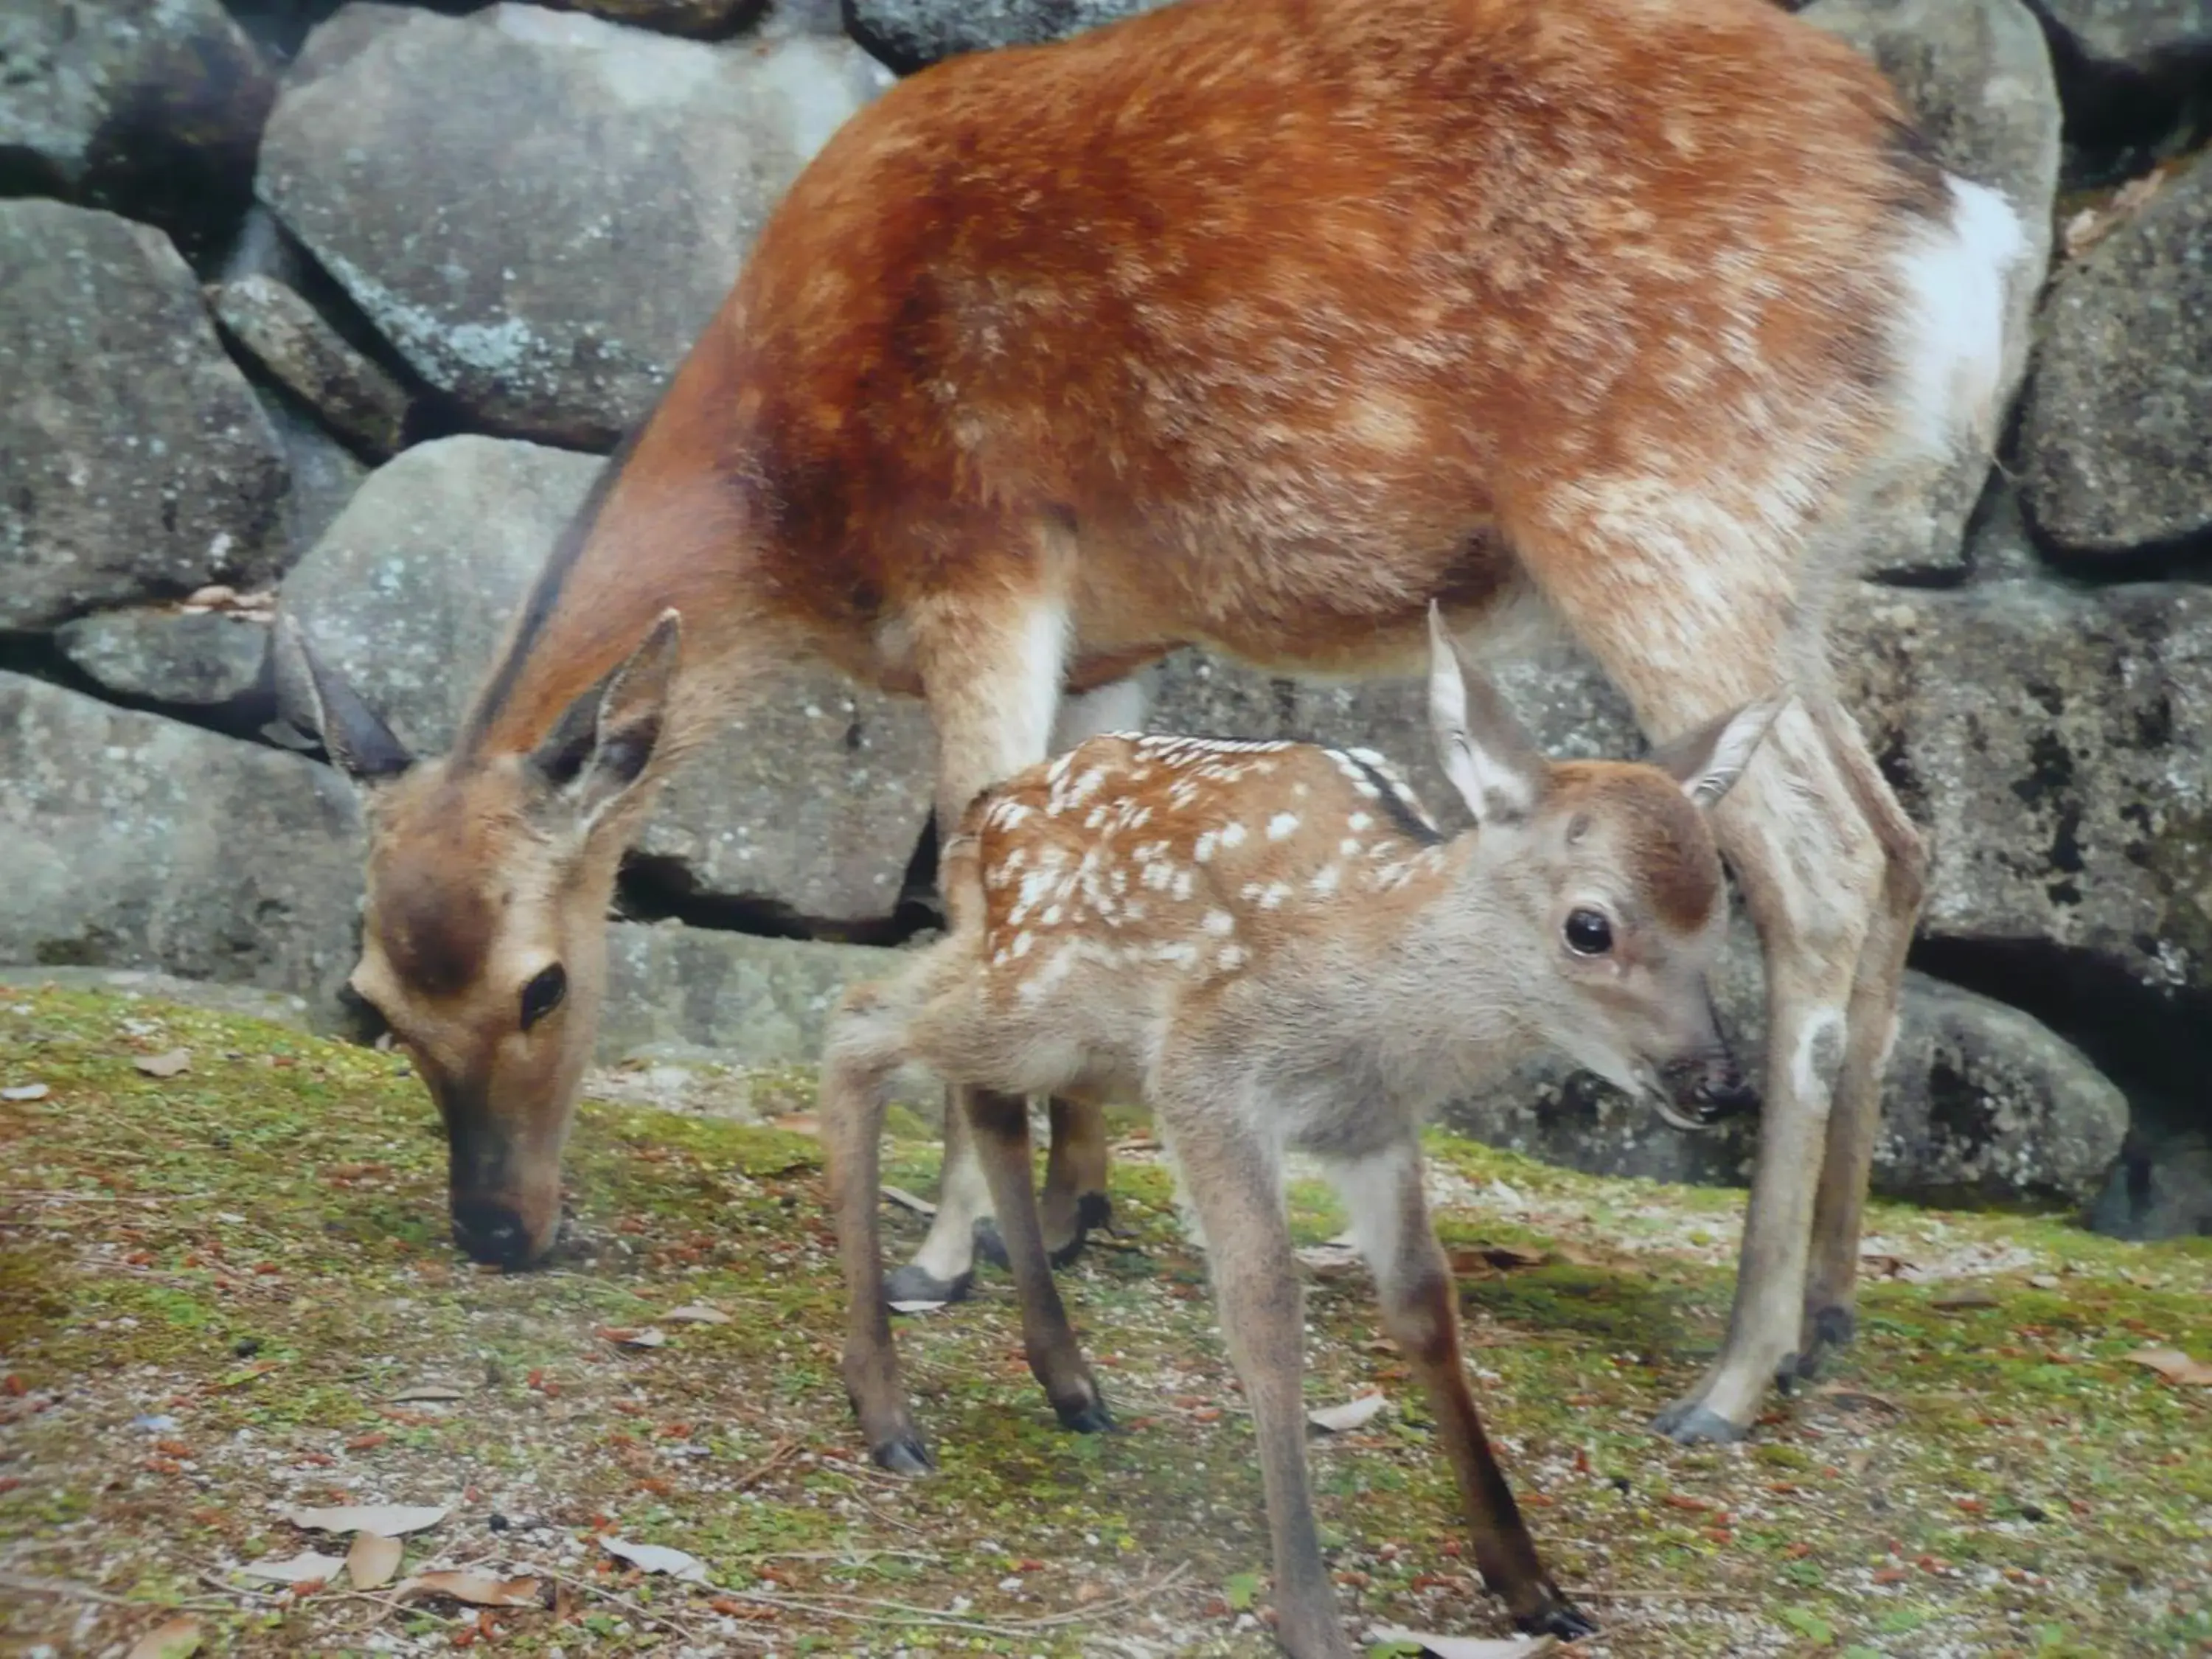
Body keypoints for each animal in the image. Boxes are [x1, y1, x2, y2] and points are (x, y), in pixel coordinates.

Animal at [285, 0, 2026, 1442]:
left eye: (545, 984)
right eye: (367, 996)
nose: (497, 1232)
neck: (793, 497)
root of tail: (1958, 231)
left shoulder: (983, 555)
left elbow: (976, 867)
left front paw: (945, 1258)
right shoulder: (1117, 627)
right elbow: (1084, 852)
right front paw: (1075, 1205)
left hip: (1658, 505)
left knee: (1821, 870)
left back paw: (1732, 1375)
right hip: (1792, 562)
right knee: (1904, 838)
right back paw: (1833, 1317)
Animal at [832, 615, 1778, 1659]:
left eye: (1720, 923)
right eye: (1590, 927)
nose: (1718, 1081)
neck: (1374, 1008)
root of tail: (981, 820)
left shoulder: (1373, 1129)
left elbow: (1424, 1306)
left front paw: (1531, 1584)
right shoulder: (1208, 1081)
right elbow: (1265, 1312)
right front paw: (1312, 1615)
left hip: (1039, 1009)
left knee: (965, 1082)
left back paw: (1069, 1385)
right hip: (1043, 991)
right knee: (858, 1028)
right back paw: (887, 1412)